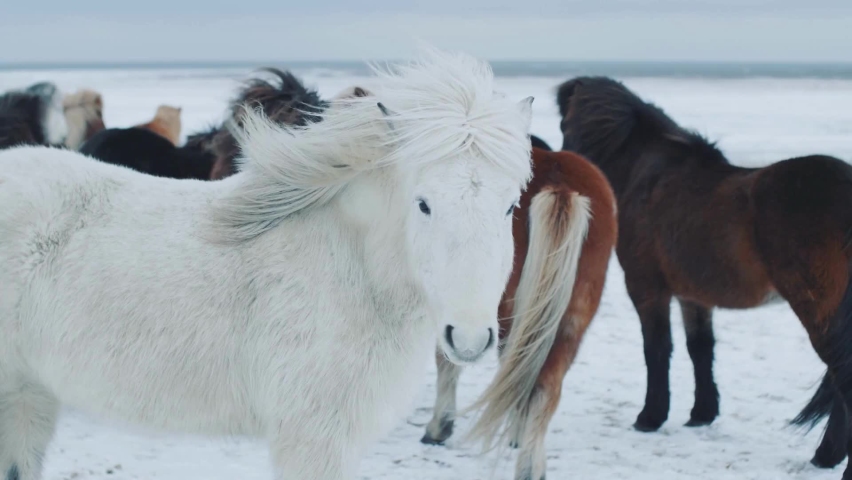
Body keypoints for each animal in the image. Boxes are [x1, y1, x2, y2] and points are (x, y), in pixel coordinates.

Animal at [0, 47, 536, 480]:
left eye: (511, 205)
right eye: (423, 203)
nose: (469, 338)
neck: (350, 270)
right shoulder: (312, 439)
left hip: (30, 398)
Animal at [422, 138, 616, 480]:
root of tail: (561, 186)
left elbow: (447, 359)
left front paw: (440, 426)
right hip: (569, 321)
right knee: (542, 386)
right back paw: (530, 462)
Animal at [556, 77, 852, 474]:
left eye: (563, 126)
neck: (648, 176)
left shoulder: (646, 288)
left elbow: (657, 348)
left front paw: (650, 417)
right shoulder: (692, 296)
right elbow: (700, 348)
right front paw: (702, 413)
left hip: (819, 311)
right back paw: (826, 456)